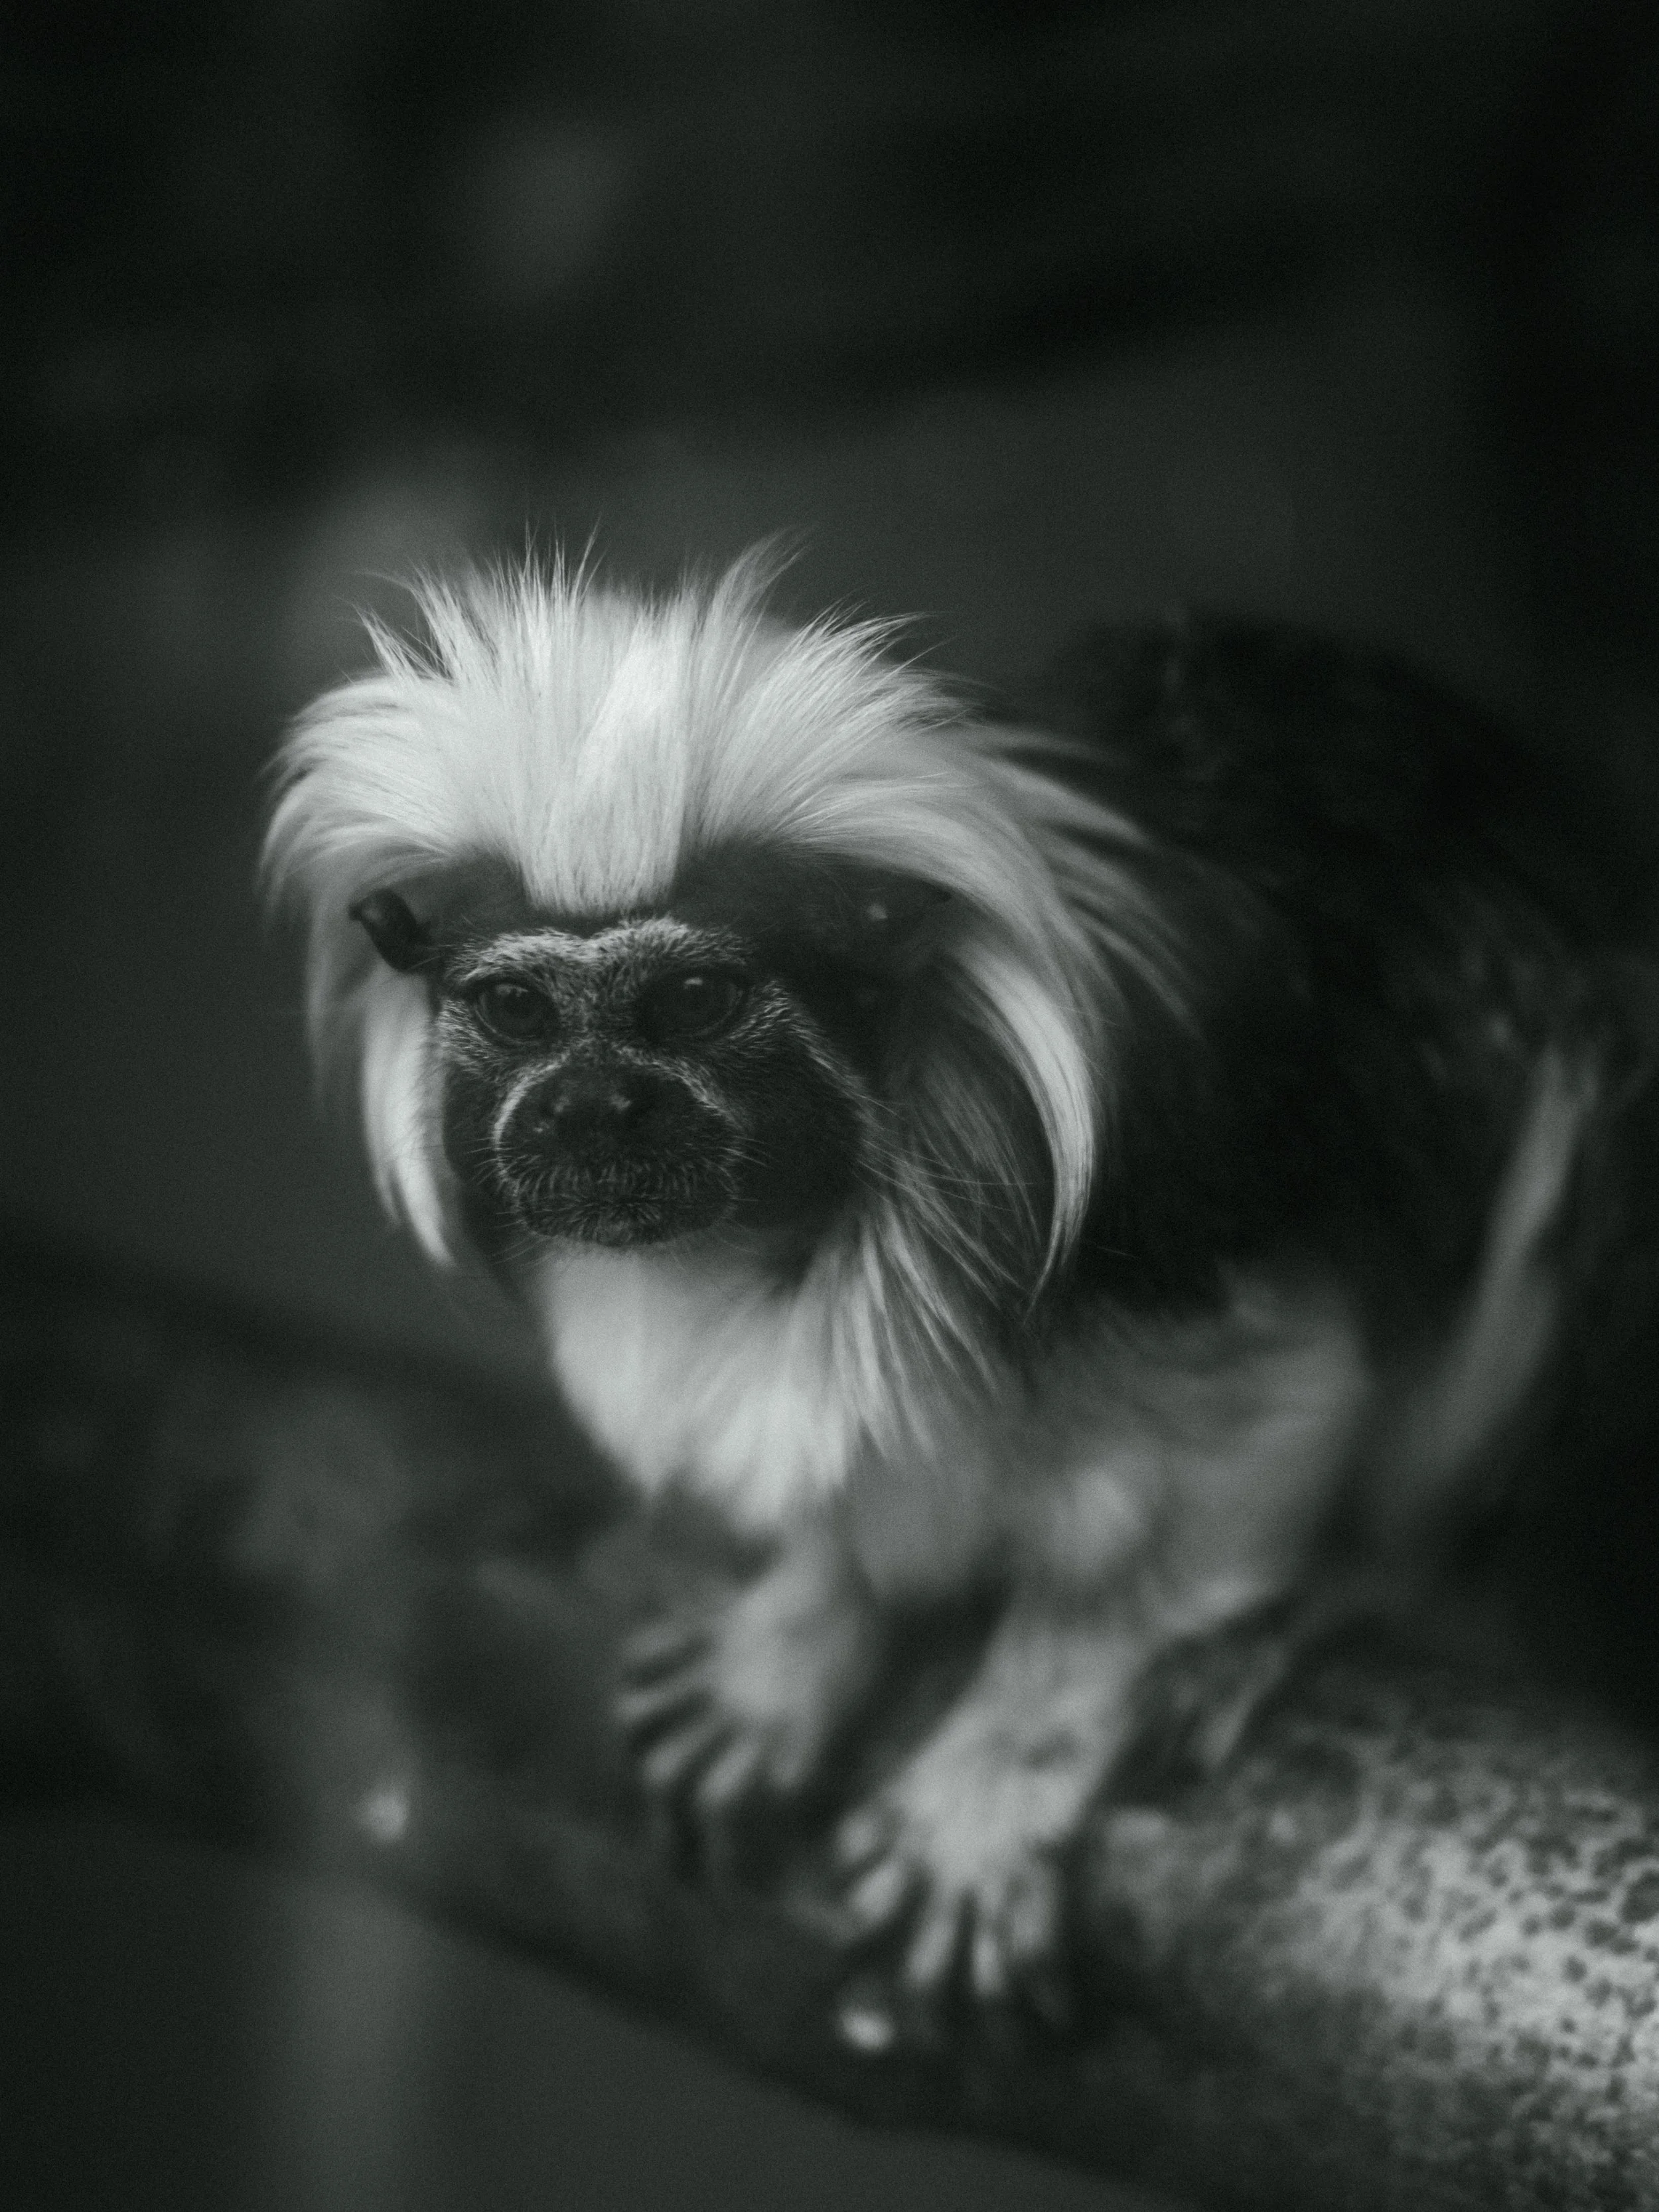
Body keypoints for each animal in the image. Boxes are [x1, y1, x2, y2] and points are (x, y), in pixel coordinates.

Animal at [264, 552, 1652, 2023]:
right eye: (519, 1010)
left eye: (694, 999)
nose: (591, 1106)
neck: (794, 1228)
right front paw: (803, 1628)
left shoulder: (1182, 1187)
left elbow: (1242, 1437)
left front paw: (1008, 1758)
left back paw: (1339, 1594)